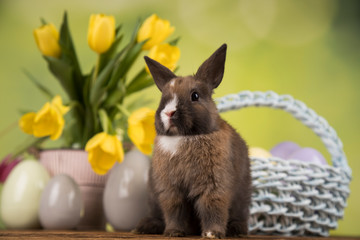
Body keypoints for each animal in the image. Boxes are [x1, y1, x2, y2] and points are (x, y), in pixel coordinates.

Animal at [134, 43, 252, 238]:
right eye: (163, 98)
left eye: (195, 96)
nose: (169, 112)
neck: (185, 137)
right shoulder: (170, 190)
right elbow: (174, 210)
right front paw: (173, 232)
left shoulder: (214, 186)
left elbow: (212, 208)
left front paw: (212, 234)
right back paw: (144, 227)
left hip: (242, 200)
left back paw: (237, 230)